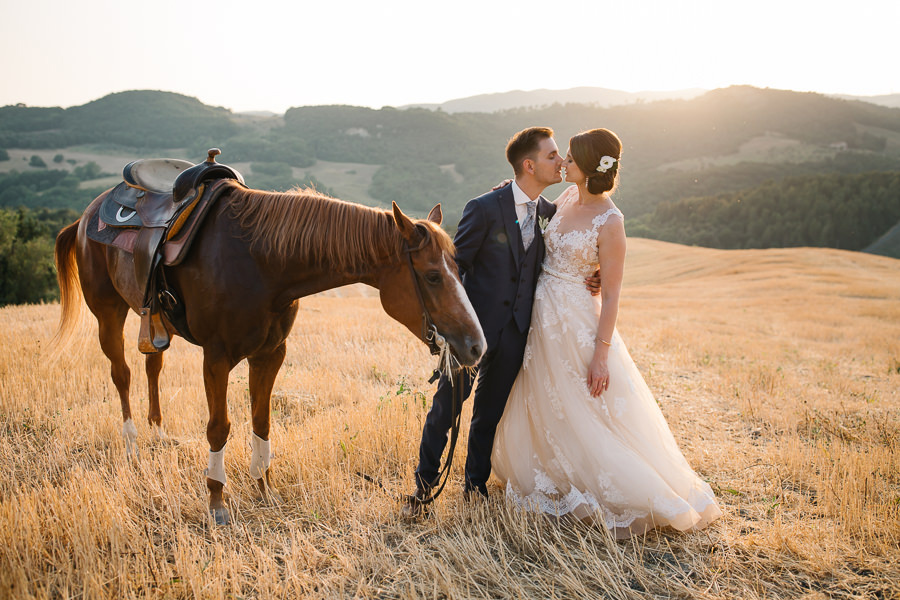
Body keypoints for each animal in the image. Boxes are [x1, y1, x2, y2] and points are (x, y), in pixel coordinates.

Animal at [51, 184, 482, 524]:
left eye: (459, 267)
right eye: (432, 276)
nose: (478, 345)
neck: (261, 262)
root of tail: (87, 216)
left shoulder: (270, 354)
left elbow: (262, 420)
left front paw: (264, 487)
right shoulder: (216, 357)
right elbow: (219, 426)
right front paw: (217, 500)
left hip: (154, 326)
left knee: (152, 365)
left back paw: (158, 432)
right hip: (108, 313)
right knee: (121, 374)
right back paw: (132, 443)